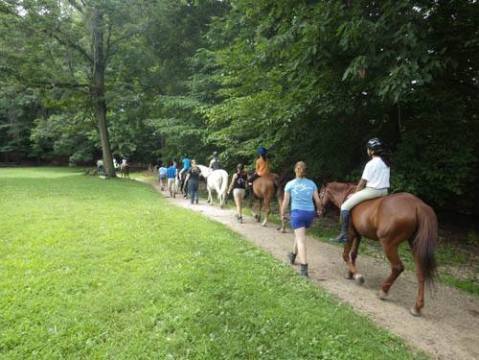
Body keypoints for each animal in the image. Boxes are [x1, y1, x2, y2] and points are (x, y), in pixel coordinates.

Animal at [318, 181, 438, 316]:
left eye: (320, 194)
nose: (319, 212)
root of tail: (418, 205)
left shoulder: (350, 234)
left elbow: (345, 254)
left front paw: (357, 276)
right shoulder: (358, 235)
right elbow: (353, 254)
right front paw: (351, 273)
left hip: (388, 244)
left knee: (397, 267)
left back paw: (383, 291)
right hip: (415, 245)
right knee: (420, 272)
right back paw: (417, 307)